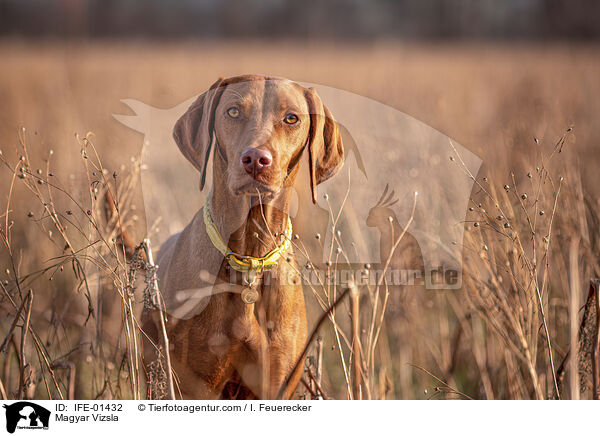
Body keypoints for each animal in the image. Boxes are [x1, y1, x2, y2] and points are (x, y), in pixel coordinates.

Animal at [141, 74, 344, 398]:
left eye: (291, 118)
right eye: (233, 111)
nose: (255, 159)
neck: (249, 254)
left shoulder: (275, 384)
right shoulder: (192, 385)